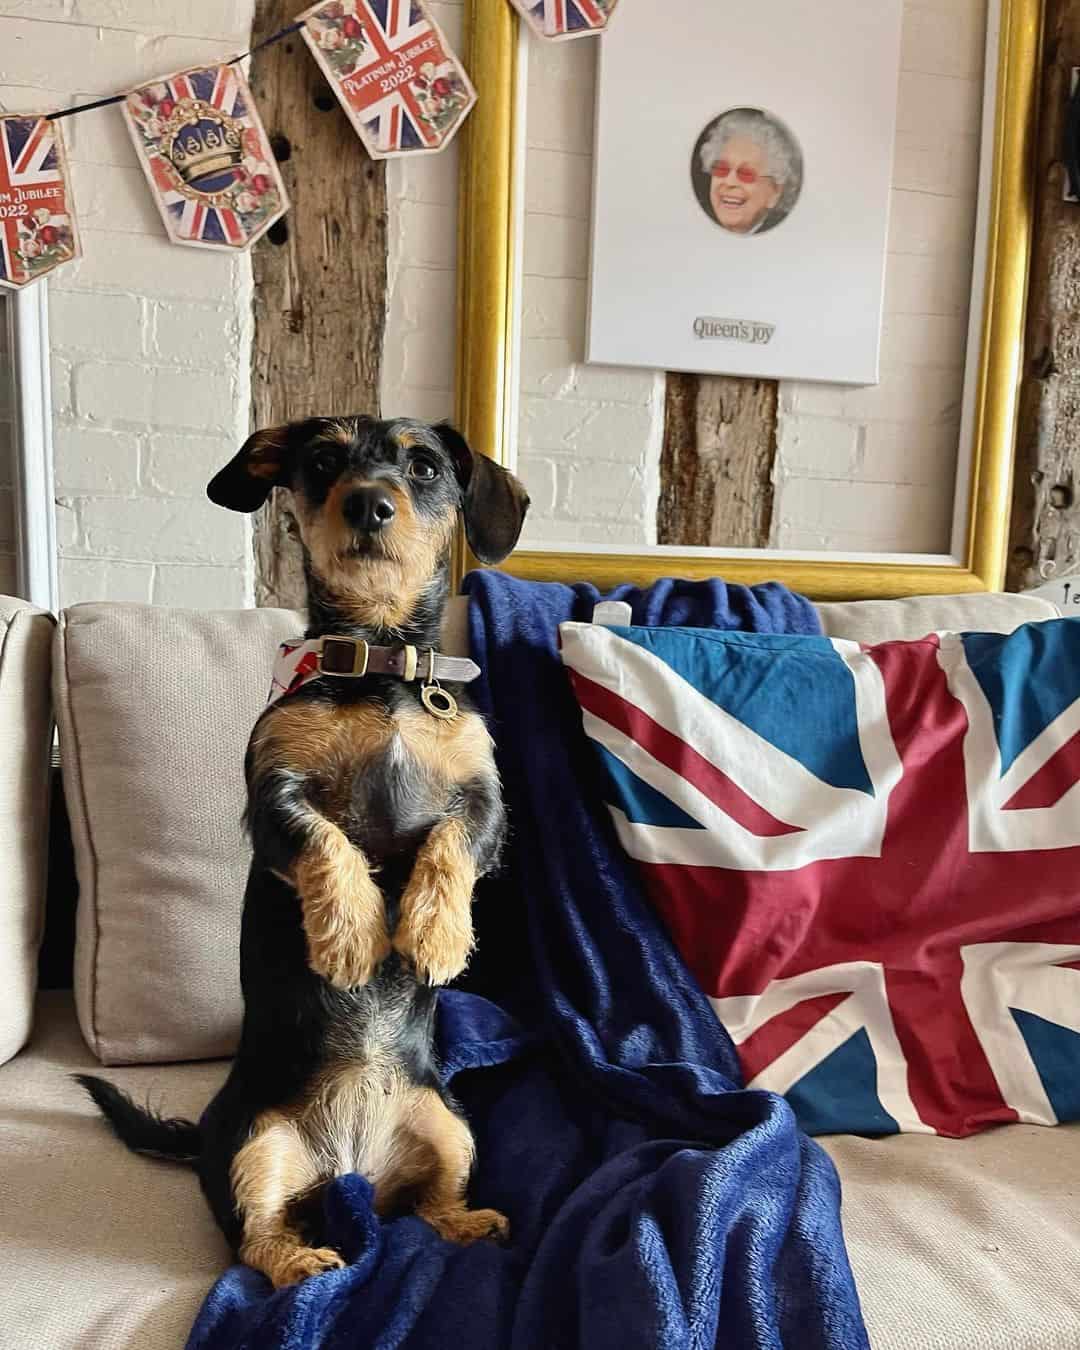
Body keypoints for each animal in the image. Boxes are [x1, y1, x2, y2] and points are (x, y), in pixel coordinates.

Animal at [74, 415, 526, 1290]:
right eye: (322, 462)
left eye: (424, 466)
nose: (369, 503)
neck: (379, 668)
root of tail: (352, 1171)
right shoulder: (273, 794)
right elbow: (330, 841)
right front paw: (351, 938)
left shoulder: (486, 801)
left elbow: (450, 845)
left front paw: (433, 935)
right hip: (255, 1143)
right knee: (256, 1239)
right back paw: (306, 1265)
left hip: (452, 1123)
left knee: (429, 1202)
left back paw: (469, 1222)